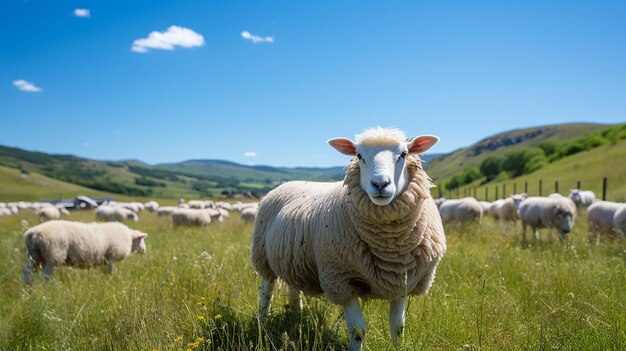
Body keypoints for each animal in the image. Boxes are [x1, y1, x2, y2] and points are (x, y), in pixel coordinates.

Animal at [249, 127, 444, 351]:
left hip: (292, 259)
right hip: (262, 255)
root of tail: (287, 183)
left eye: (403, 154)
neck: (391, 249)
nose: (380, 184)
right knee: (266, 292)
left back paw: (296, 314)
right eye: (359, 156)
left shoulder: (403, 281)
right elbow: (358, 330)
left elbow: (398, 327)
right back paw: (262, 323)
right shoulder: (341, 279)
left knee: (293, 287)